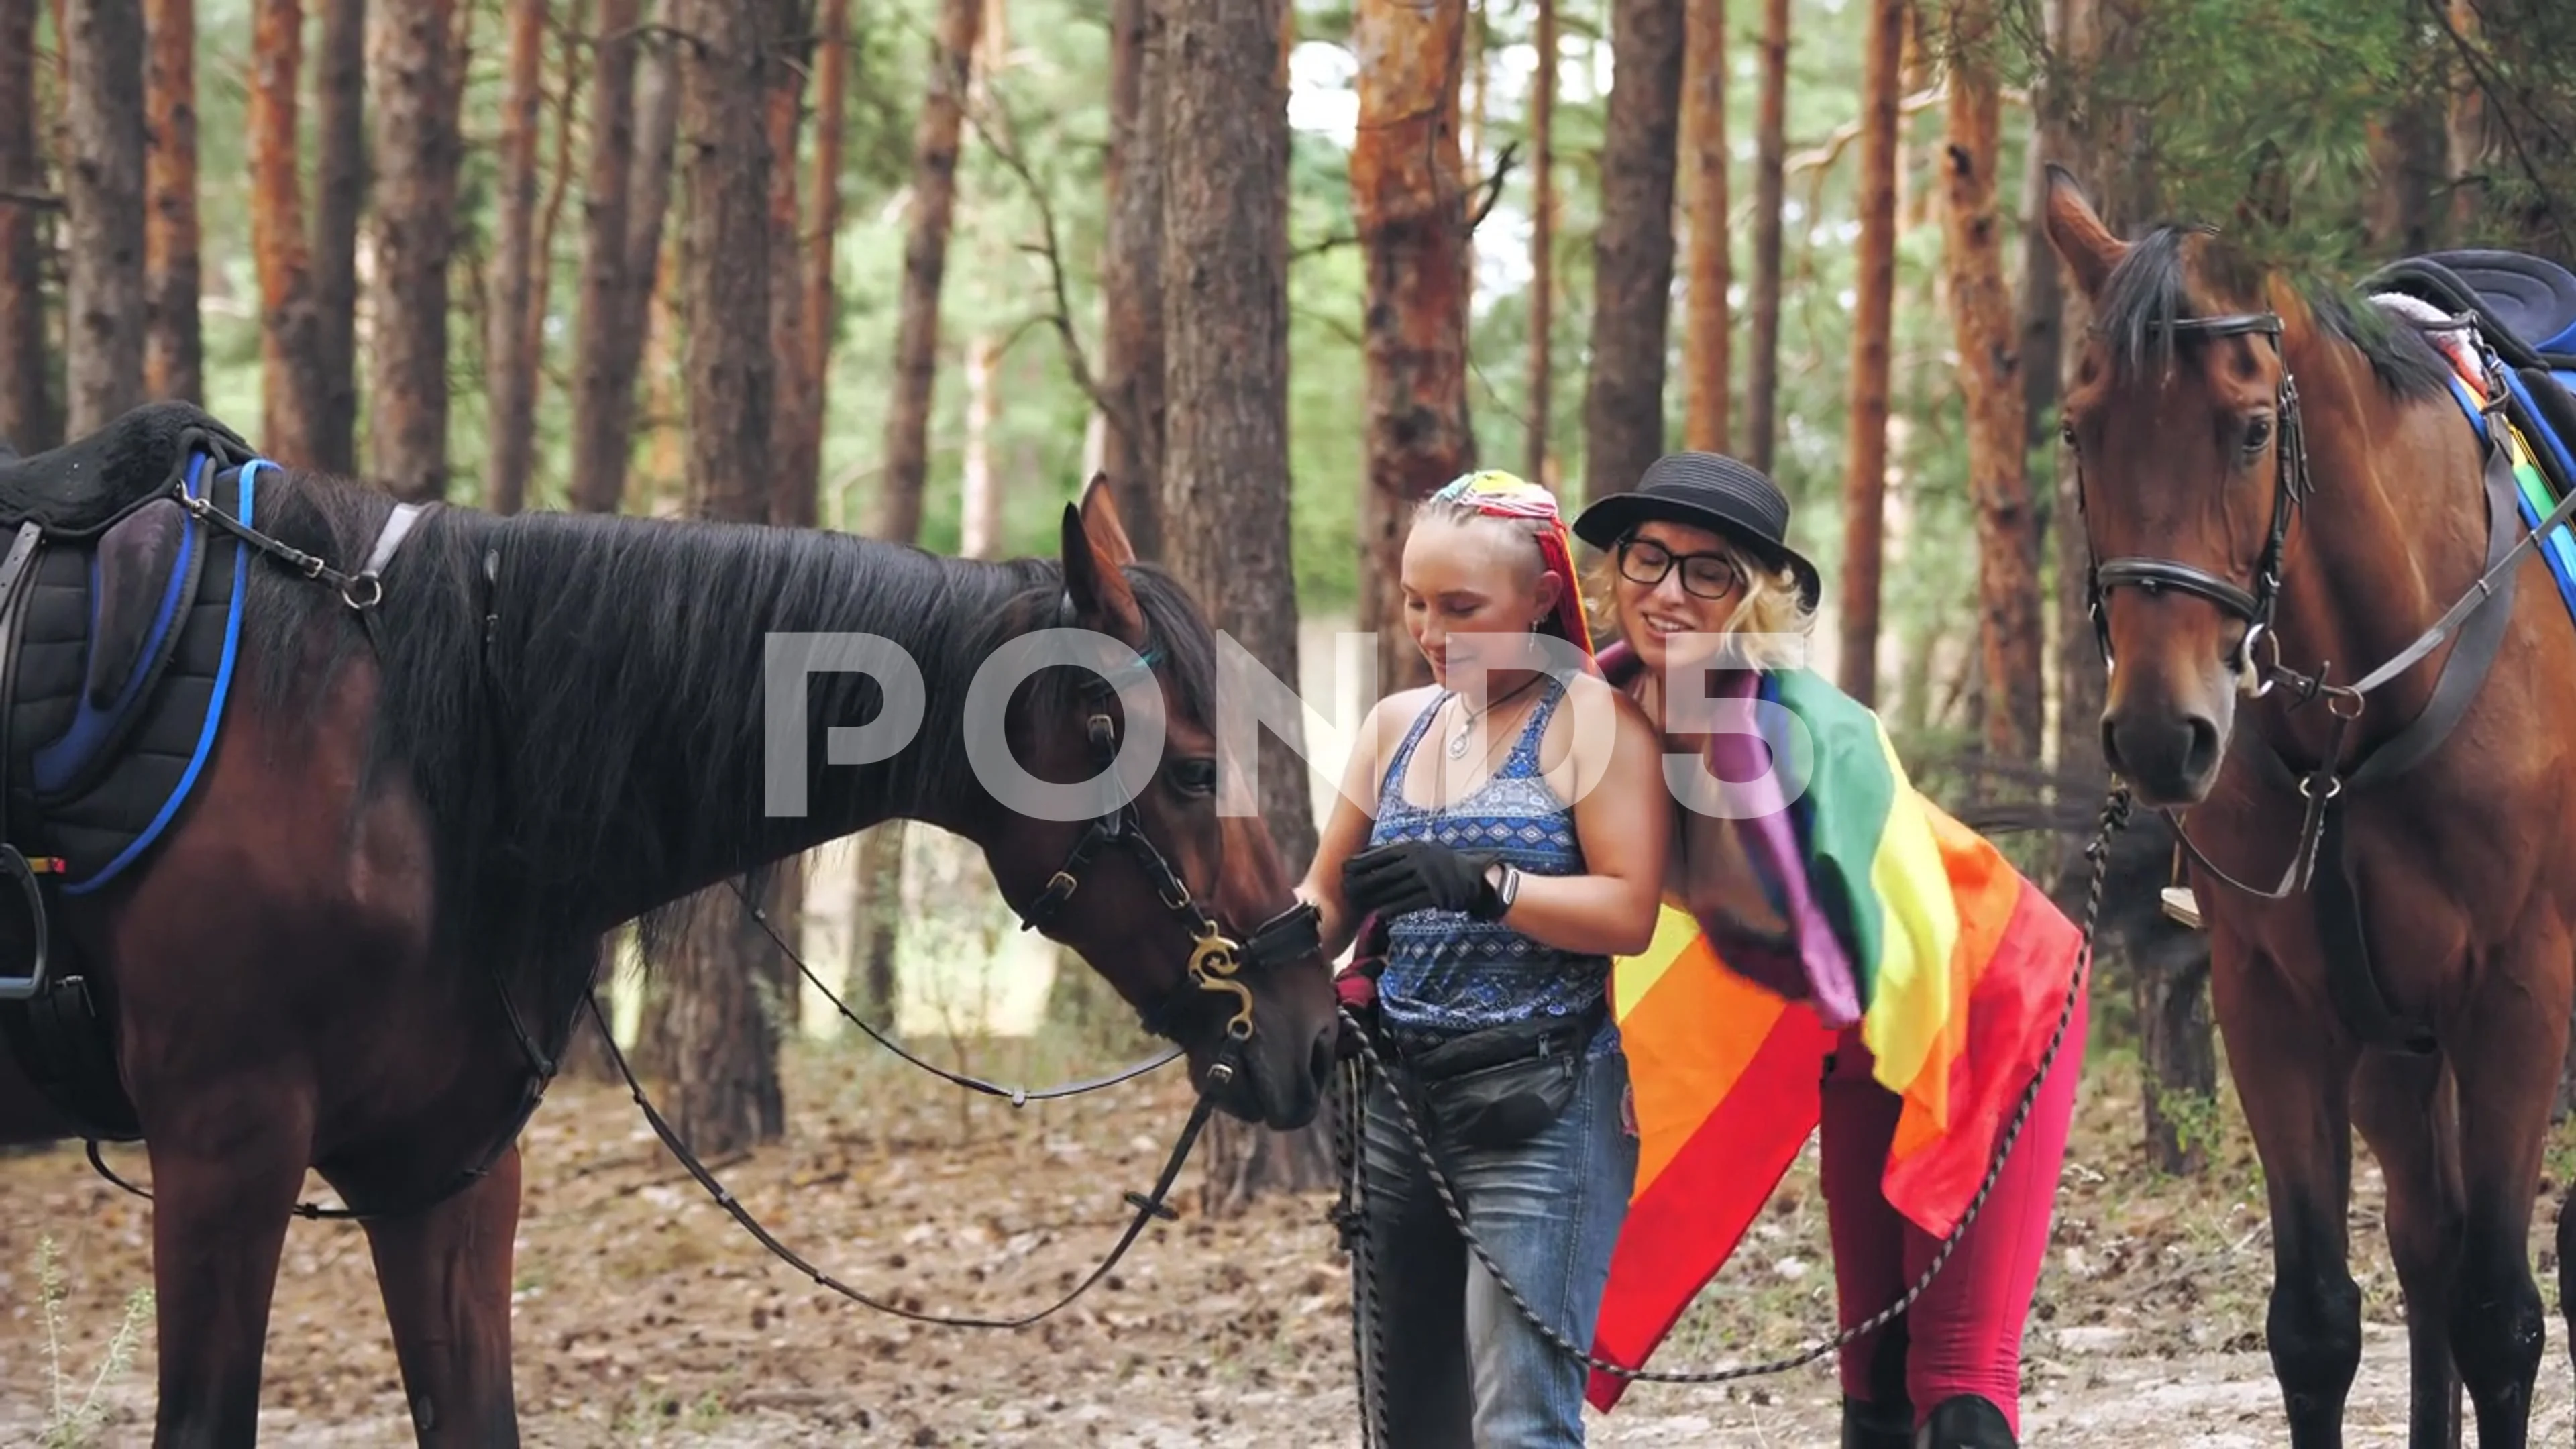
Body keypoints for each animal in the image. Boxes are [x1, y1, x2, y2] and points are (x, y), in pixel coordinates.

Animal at [2040, 164, 2576, 1433]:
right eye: (2081, 429)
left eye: (2248, 429)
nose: (2160, 731)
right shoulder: (2278, 1007)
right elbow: (2320, 1324)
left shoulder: (2520, 999)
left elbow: (2502, 1319)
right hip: (2395, 1049)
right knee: (2426, 1243)